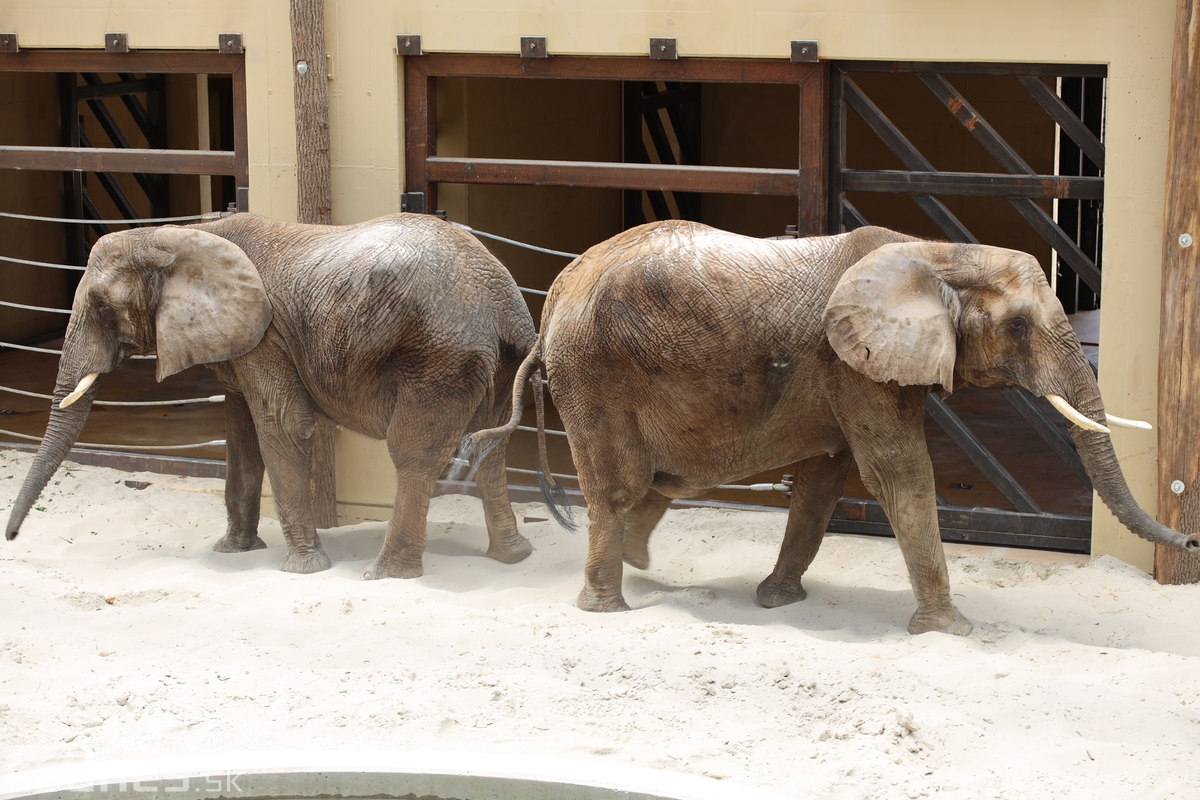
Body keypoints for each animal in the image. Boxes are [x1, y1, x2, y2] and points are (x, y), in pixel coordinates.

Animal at [4, 211, 540, 575]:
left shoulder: (265, 338)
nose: (11, 538)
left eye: (100, 307)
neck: (175, 235)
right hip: (491, 363)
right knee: (492, 450)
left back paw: (386, 573)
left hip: (440, 355)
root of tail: (508, 305)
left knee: (412, 453)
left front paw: (303, 568)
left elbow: (282, 426)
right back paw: (512, 557)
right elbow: (241, 436)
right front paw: (233, 552)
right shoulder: (244, 343)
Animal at [470, 220, 1200, 638]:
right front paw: (950, 631)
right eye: (1018, 326)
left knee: (657, 480)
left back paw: (639, 564)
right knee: (619, 485)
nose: (1191, 538)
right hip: (594, 375)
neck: (940, 253)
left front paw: (778, 602)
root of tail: (556, 293)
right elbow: (898, 473)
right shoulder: (852, 365)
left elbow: (825, 479)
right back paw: (606, 608)